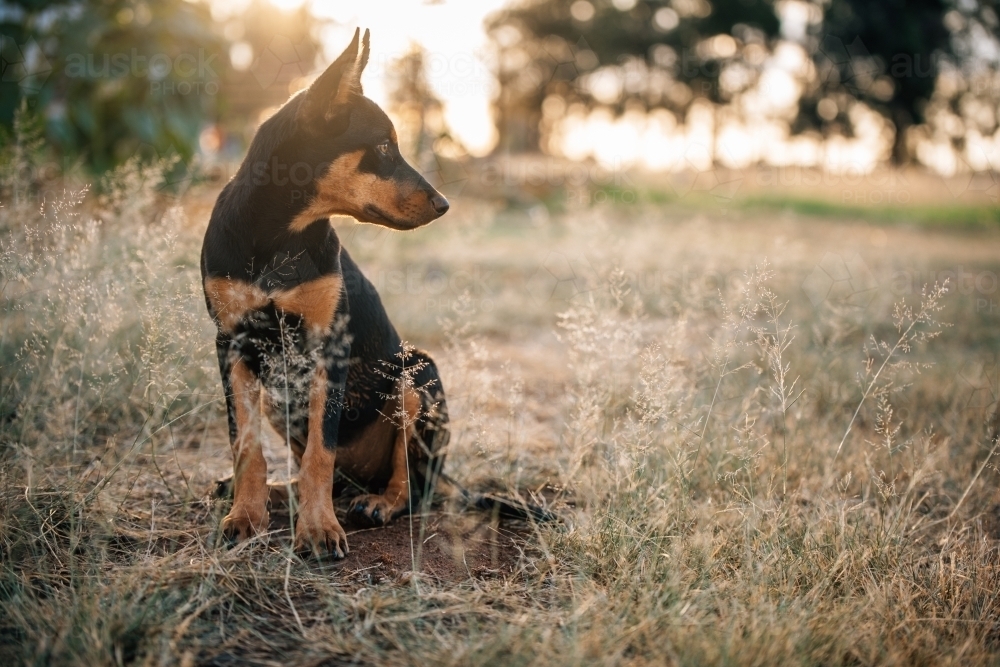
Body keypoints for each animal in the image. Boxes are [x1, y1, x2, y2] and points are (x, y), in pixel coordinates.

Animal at [205, 28, 548, 560]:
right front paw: (245, 516)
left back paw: (377, 504)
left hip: (419, 375)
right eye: (384, 145)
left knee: (411, 486)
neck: (277, 236)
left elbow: (320, 453)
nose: (443, 204)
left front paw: (318, 530)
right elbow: (247, 445)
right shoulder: (231, 343)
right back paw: (278, 494)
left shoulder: (329, 347)